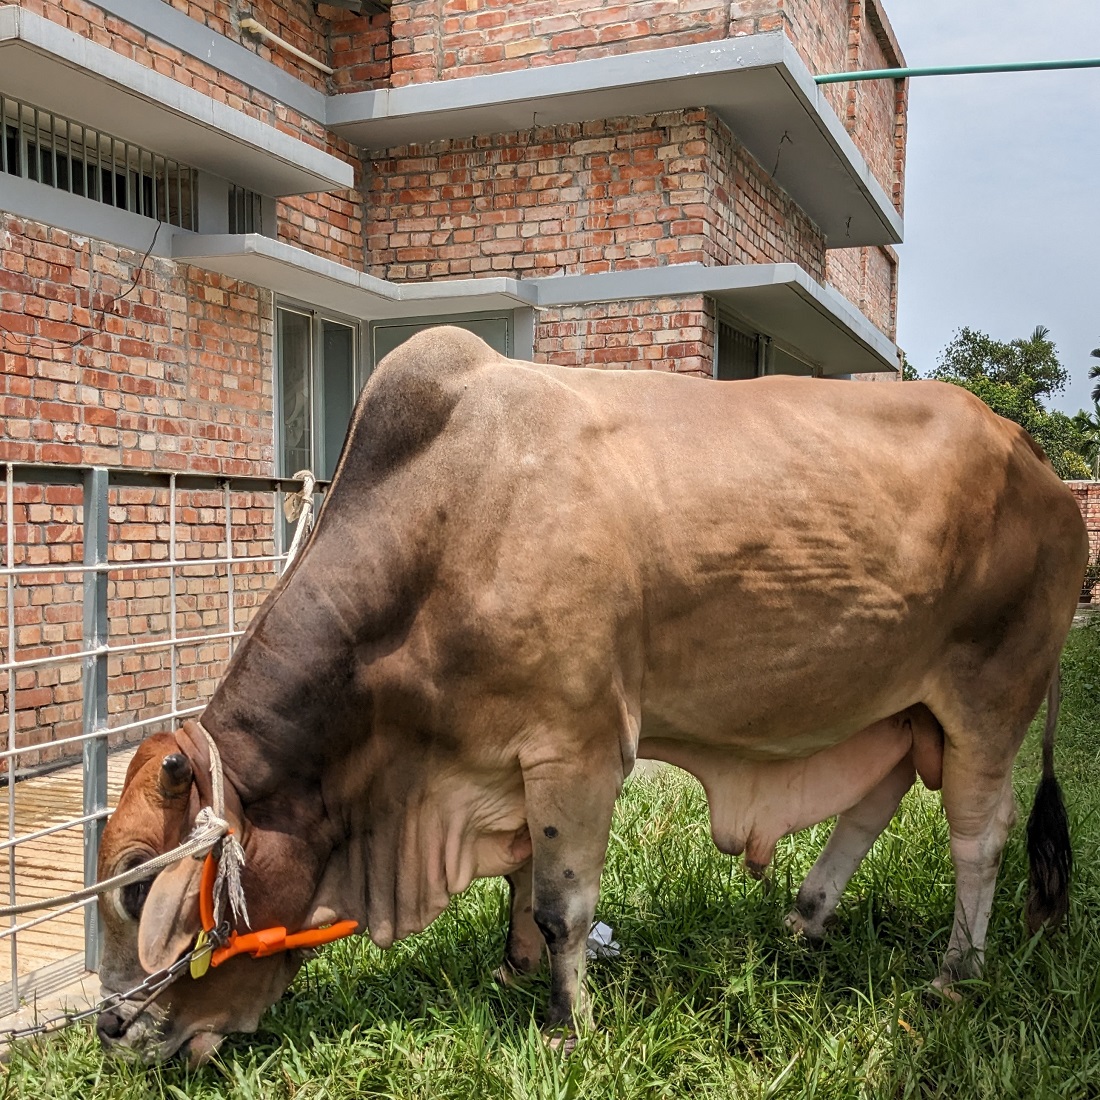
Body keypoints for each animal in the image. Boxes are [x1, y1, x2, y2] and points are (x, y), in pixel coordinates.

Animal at [92, 327, 1082, 1064]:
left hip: (989, 698)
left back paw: (955, 972)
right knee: (875, 802)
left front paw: (571, 1026)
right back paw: (803, 921)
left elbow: (561, 904)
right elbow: (522, 879)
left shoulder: (578, 746)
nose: (112, 1030)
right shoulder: (506, 761)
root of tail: (1031, 453)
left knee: (979, 839)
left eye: (138, 890)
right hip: (897, 704)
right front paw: (513, 973)